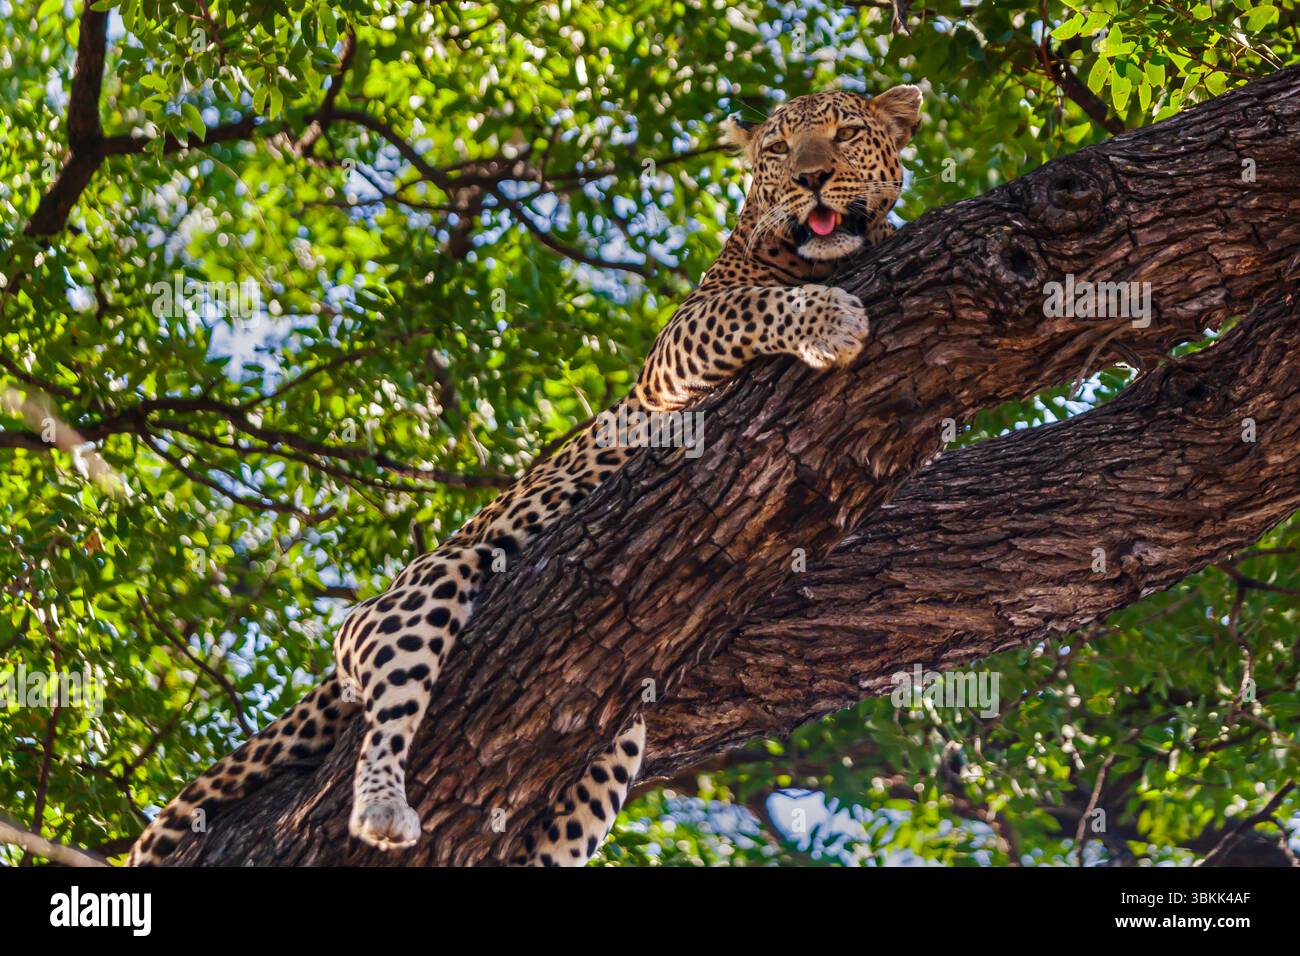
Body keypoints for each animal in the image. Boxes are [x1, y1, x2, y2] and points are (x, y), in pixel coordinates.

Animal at [128, 83, 922, 867]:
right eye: (779, 150)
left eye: (846, 134)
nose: (810, 178)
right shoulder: (678, 347)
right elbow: (754, 305)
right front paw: (828, 321)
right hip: (417, 596)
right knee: (387, 715)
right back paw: (383, 807)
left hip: (614, 741)